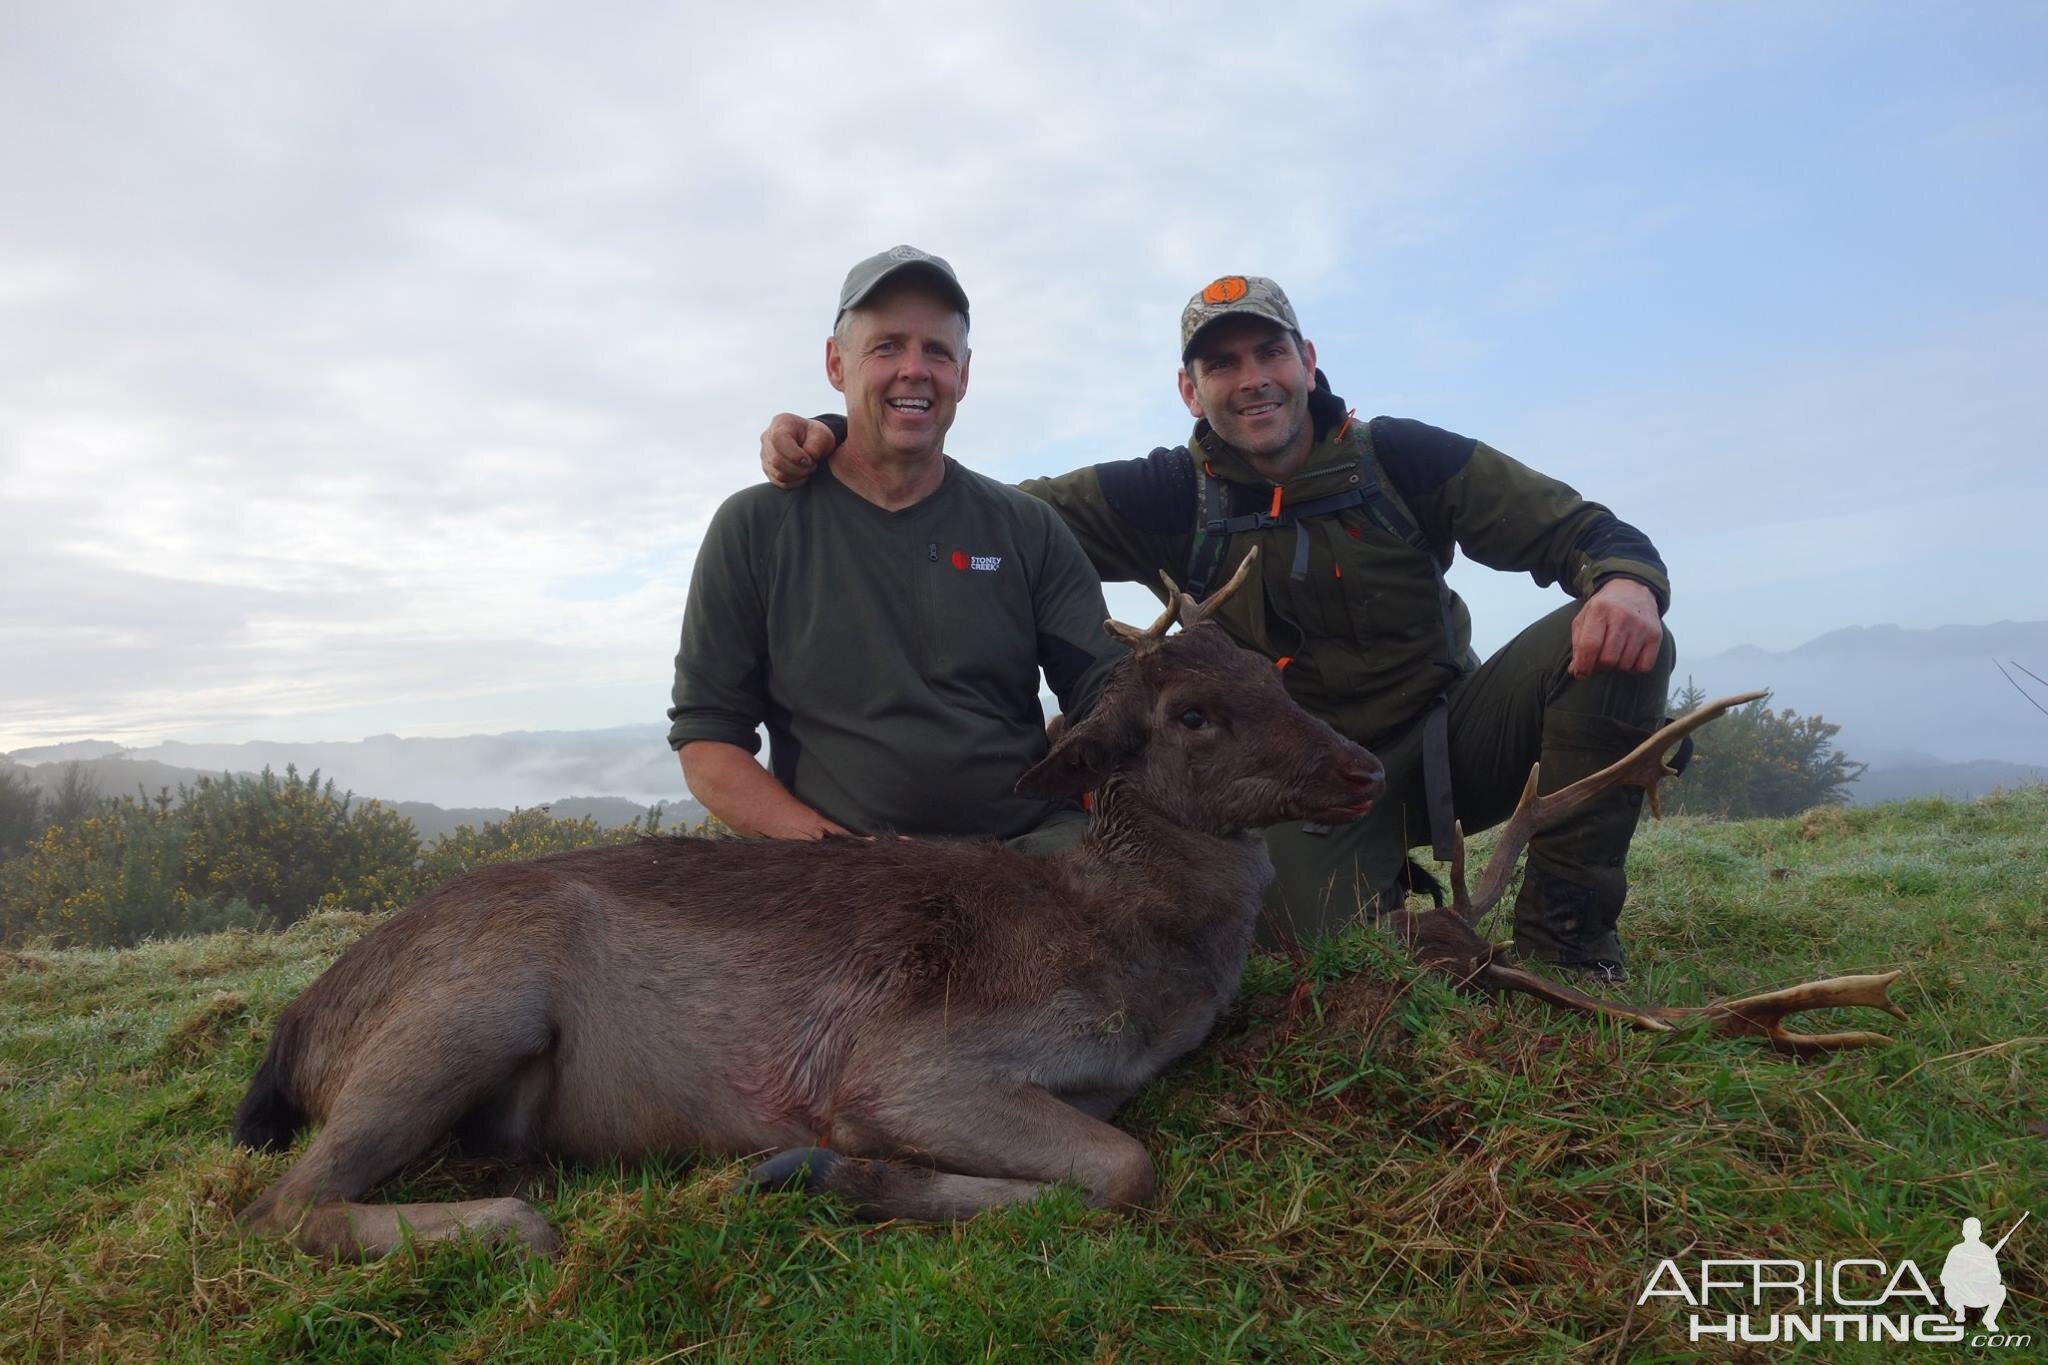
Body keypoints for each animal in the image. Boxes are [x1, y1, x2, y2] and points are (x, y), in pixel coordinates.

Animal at [235, 552, 1392, 1260]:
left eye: (1269, 667)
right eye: (1192, 713)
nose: (1363, 768)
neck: (1127, 965)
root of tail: (296, 1025)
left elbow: (1110, 1168)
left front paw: (827, 1174)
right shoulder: (901, 1059)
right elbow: (1127, 1168)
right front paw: (819, 1165)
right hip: (470, 1000)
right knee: (280, 1203)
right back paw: (523, 1223)